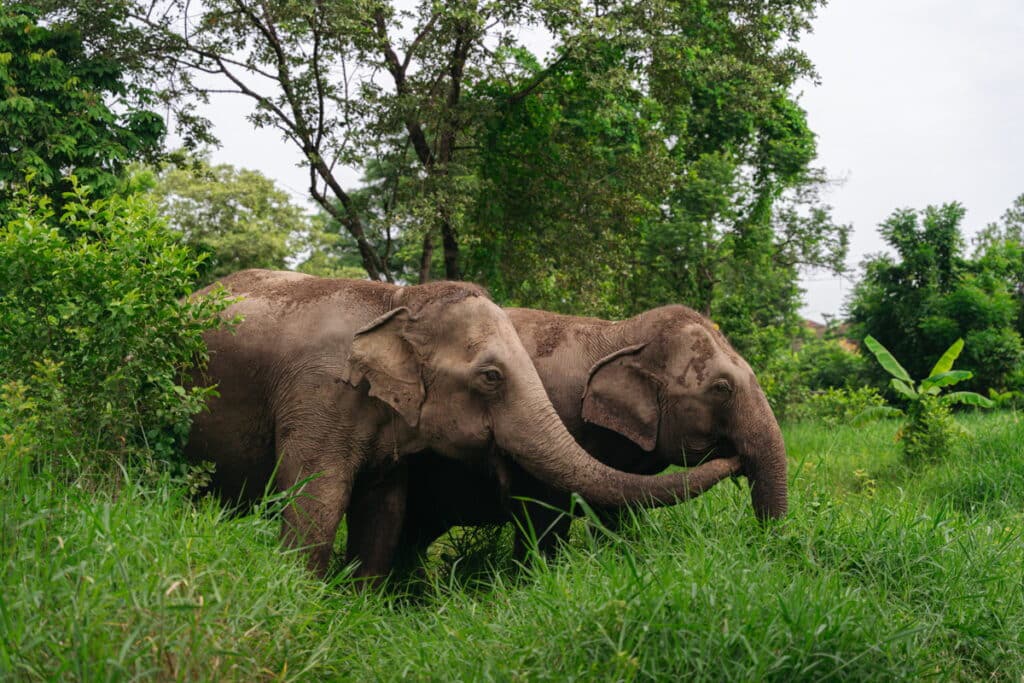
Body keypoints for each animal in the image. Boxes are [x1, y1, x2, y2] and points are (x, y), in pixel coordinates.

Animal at [185, 270, 742, 578]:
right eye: (491, 378)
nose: (735, 459)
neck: (400, 301)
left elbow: (384, 509)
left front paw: (361, 605)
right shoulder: (318, 393)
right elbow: (316, 498)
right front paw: (308, 599)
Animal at [345, 304, 788, 573]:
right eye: (722, 389)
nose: (734, 461)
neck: (620, 333)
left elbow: (617, 511)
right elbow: (544, 511)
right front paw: (535, 582)